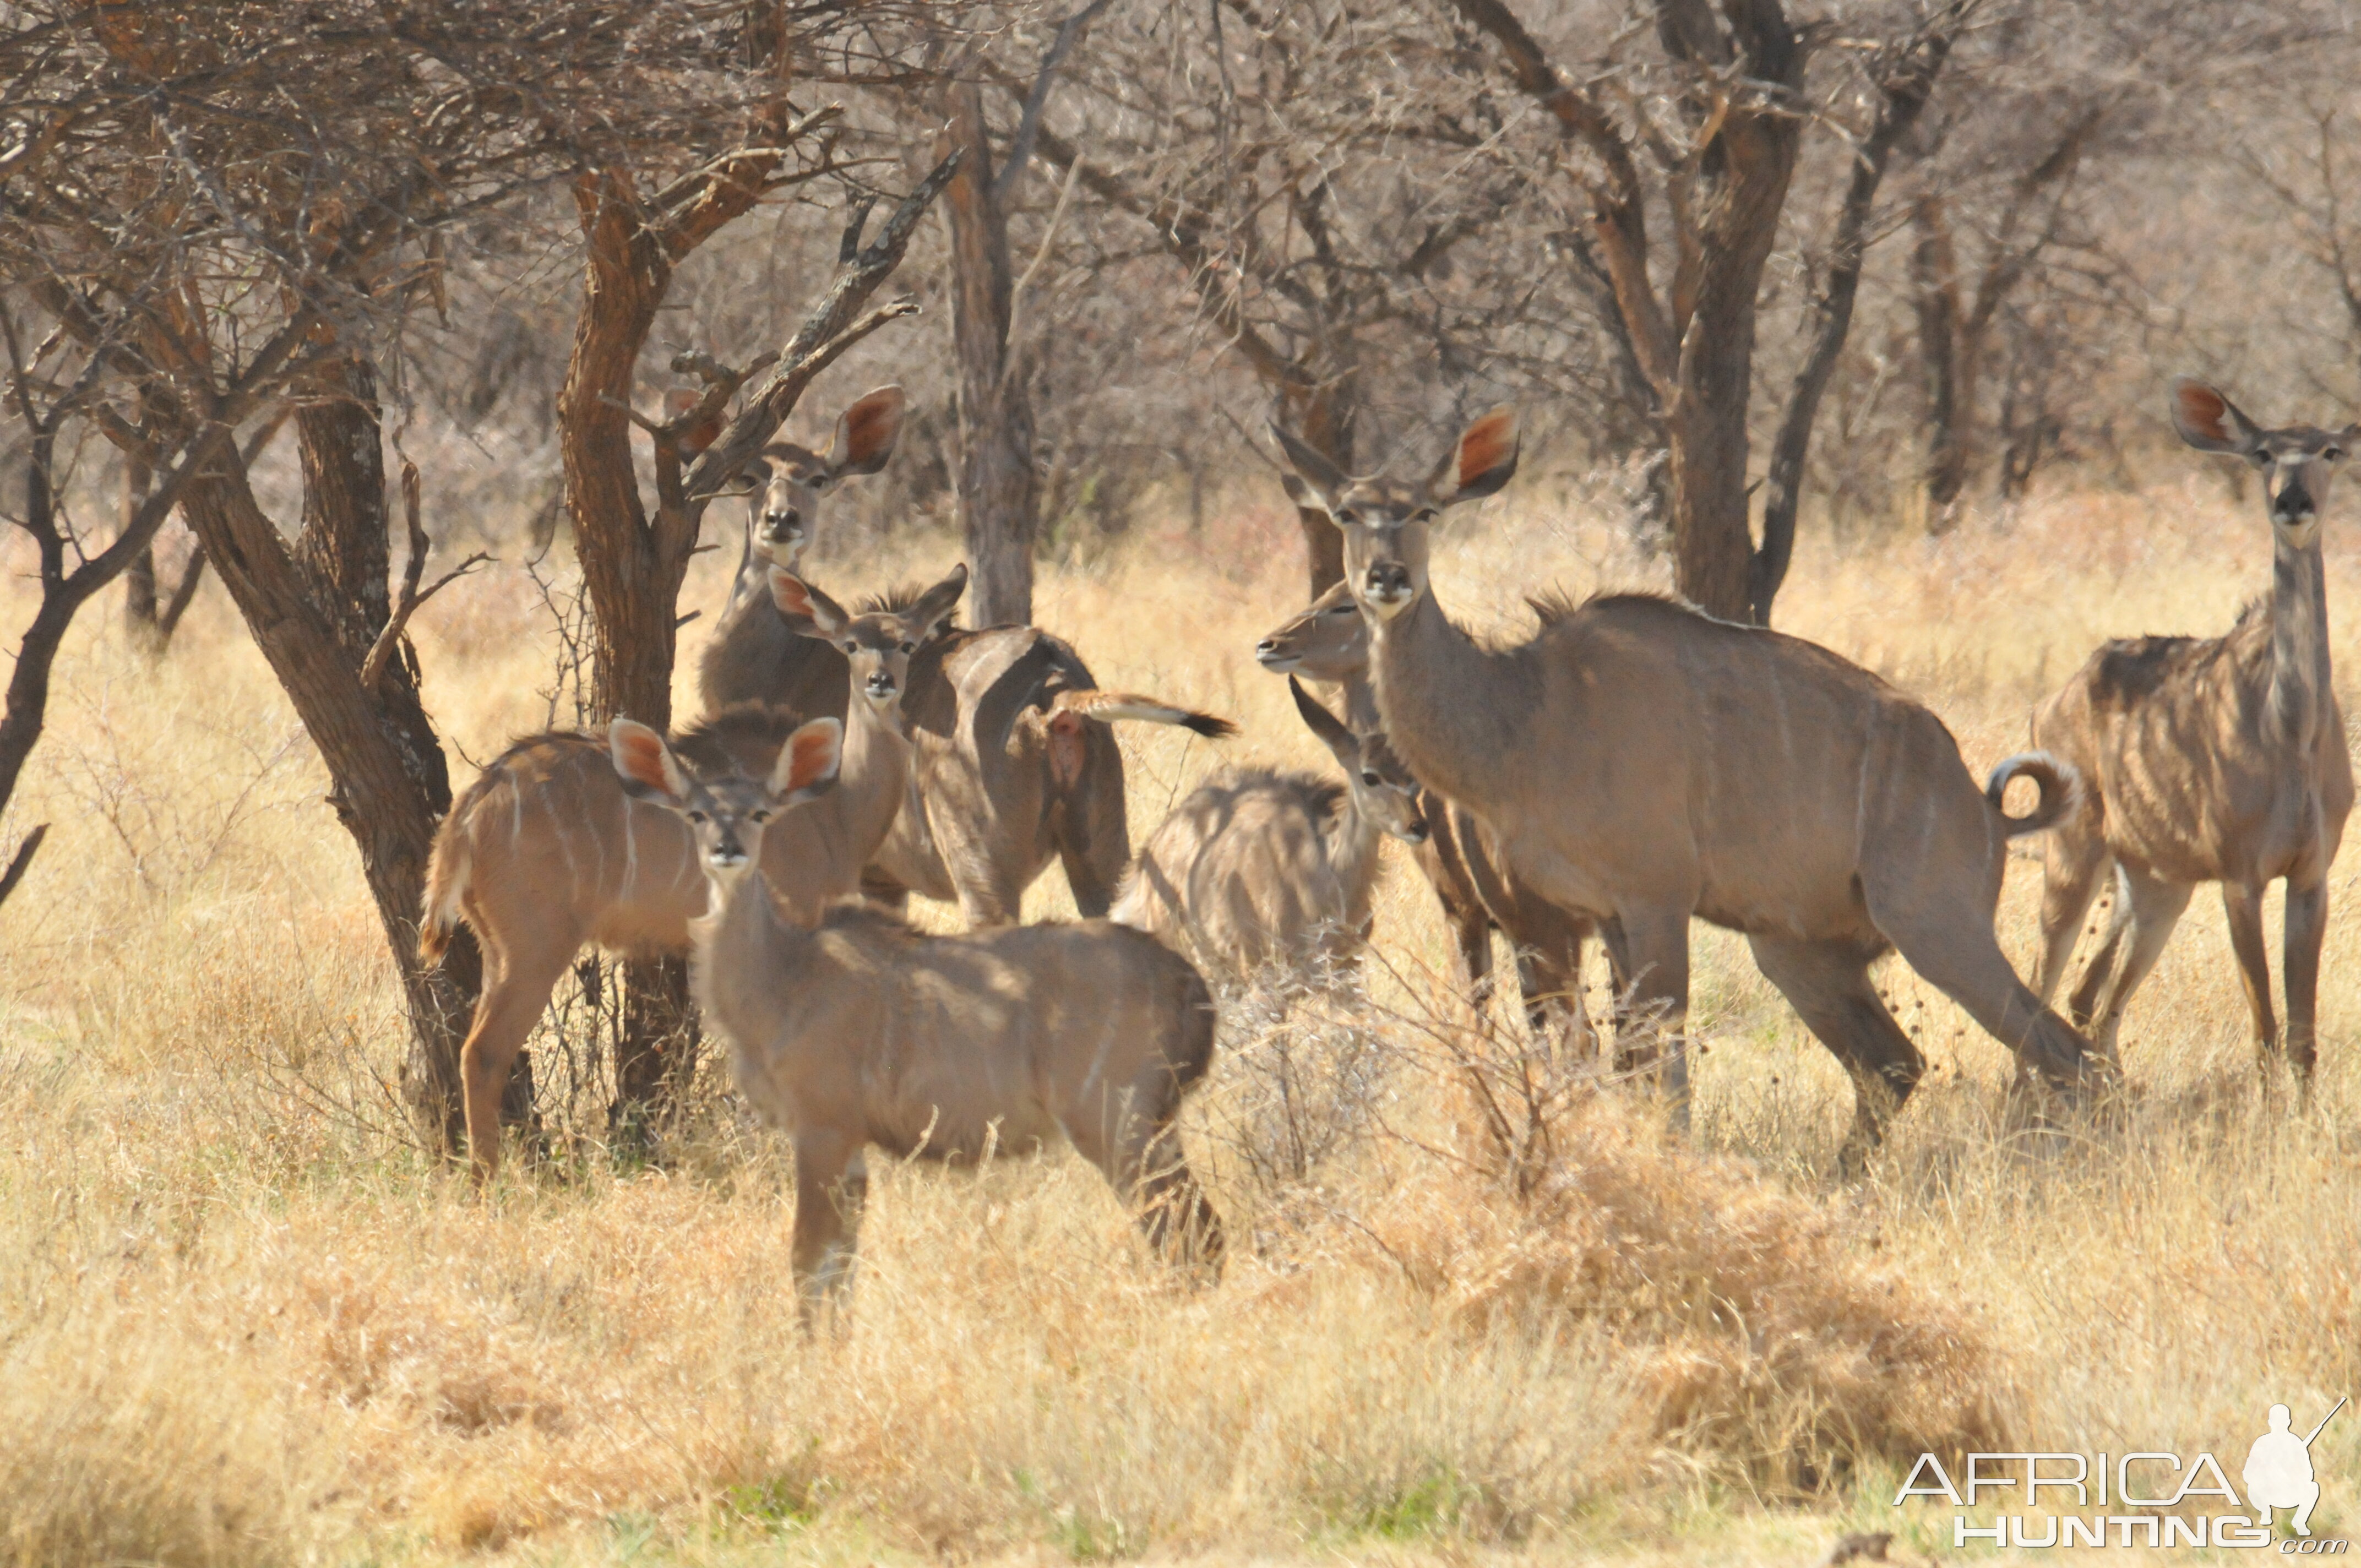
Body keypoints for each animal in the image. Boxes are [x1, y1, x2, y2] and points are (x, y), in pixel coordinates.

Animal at [420, 564, 963, 1176]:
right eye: (849, 644)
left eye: (907, 643)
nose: (880, 682)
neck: (836, 807)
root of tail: (470, 810)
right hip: (535, 946)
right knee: (484, 1051)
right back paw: (492, 1183)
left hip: (497, 947)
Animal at [613, 717, 1218, 1313]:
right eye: (696, 813)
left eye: (761, 812)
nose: (728, 849)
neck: (786, 976)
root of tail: (1189, 985)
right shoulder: (851, 1147)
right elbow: (839, 1268)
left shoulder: (823, 1126)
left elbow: (809, 1262)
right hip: (1154, 1123)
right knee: (1204, 1228)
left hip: (1115, 1122)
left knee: (1183, 1230)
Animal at [1284, 411, 2096, 1171]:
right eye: (1347, 512)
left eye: (1425, 511)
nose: (1387, 579)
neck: (1529, 714)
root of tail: (1984, 811)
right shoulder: (1594, 919)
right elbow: (1624, 1060)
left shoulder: (1651, 902)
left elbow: (1657, 1057)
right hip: (1799, 956)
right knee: (1898, 1063)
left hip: (1935, 927)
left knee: (2063, 1050)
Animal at [2021, 385, 2351, 1086]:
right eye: (2262, 454)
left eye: (2330, 451)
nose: (2292, 503)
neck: (2292, 734)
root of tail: (2048, 704)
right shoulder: (2240, 878)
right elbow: (2265, 1030)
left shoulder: (2310, 874)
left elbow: (2303, 1038)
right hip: (2075, 855)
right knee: (2042, 983)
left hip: (2152, 882)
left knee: (2090, 999)